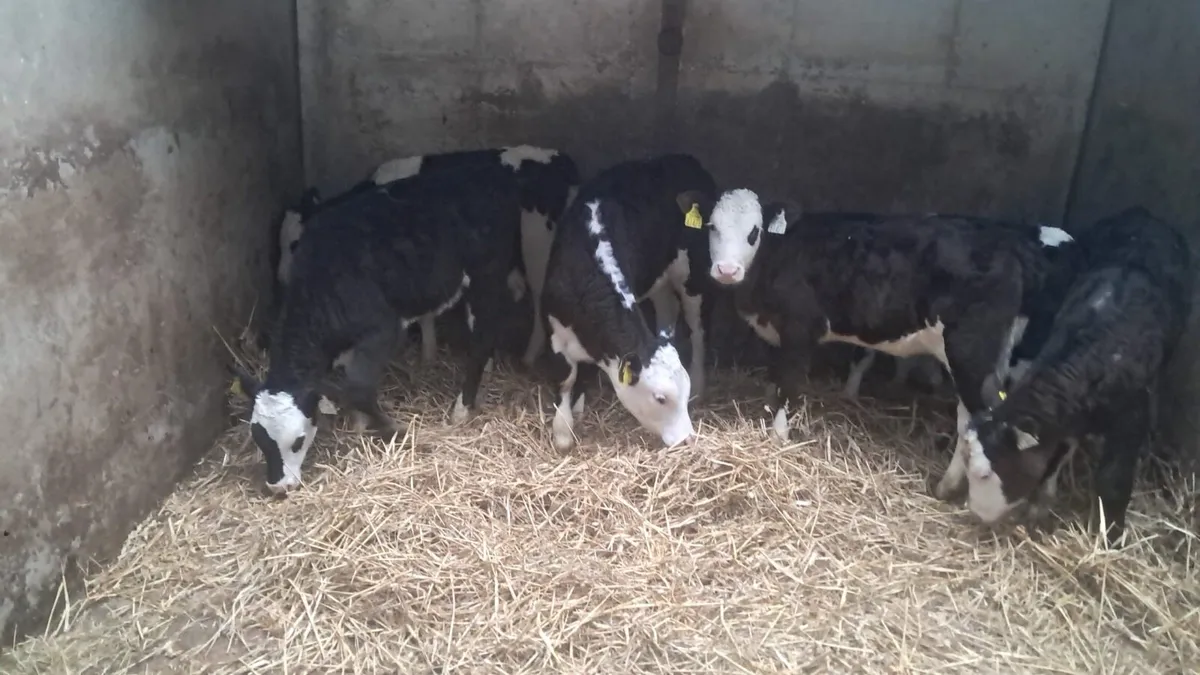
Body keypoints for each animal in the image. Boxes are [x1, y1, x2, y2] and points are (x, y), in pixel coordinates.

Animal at [234, 162, 524, 493]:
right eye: (259, 438)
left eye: (297, 441)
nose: (278, 487)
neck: (324, 281)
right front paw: (359, 424)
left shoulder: (383, 330)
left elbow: (359, 387)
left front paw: (391, 428)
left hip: (486, 275)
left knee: (482, 336)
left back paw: (461, 409)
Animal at [541, 153, 718, 451]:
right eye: (660, 398)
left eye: (684, 391)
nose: (686, 439)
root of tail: (683, 159)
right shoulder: (555, 328)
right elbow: (567, 379)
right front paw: (564, 430)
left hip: (693, 275)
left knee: (697, 330)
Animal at [950, 206, 1193, 546]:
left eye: (987, 473)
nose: (975, 513)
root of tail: (1142, 214)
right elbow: (1054, 456)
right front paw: (1040, 505)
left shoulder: (1131, 418)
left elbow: (1113, 479)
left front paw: (1111, 536)